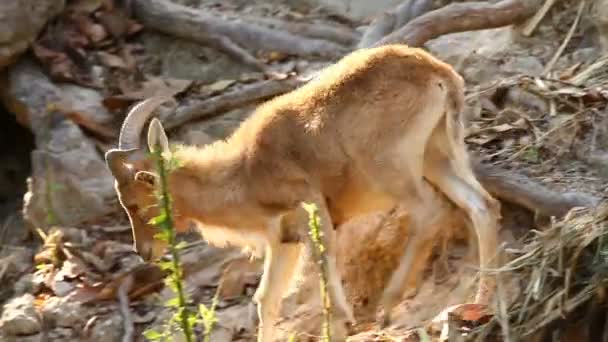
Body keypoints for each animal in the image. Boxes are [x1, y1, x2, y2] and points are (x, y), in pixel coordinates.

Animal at [104, 44, 502, 340]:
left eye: (137, 201)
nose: (144, 252)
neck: (247, 170)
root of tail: (439, 76)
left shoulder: (313, 211)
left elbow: (330, 295)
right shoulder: (286, 239)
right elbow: (266, 300)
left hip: (393, 168)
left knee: (430, 210)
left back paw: (389, 305)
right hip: (440, 155)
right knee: (482, 206)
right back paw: (480, 303)